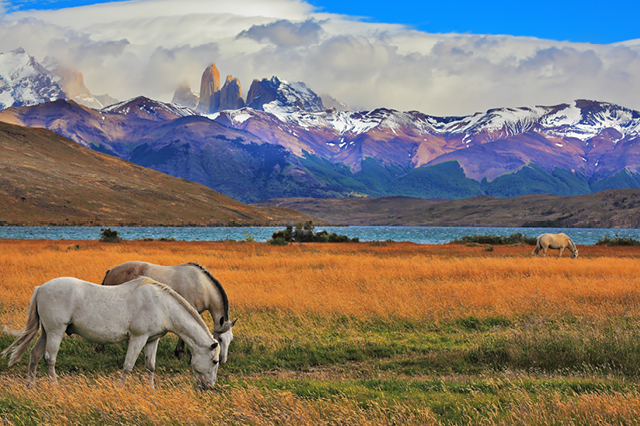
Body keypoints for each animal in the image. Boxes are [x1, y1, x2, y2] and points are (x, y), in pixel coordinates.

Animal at [1, 276, 220, 390]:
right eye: (215, 361)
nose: (209, 387)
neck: (162, 305)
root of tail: (41, 289)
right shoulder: (138, 338)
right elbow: (128, 366)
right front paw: (120, 389)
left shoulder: (152, 340)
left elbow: (150, 366)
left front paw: (150, 390)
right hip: (56, 331)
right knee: (49, 357)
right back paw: (55, 386)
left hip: (46, 331)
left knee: (35, 354)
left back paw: (31, 385)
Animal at [102, 262, 238, 364]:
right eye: (220, 339)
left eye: (230, 339)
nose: (222, 360)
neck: (202, 285)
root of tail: (111, 271)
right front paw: (182, 353)